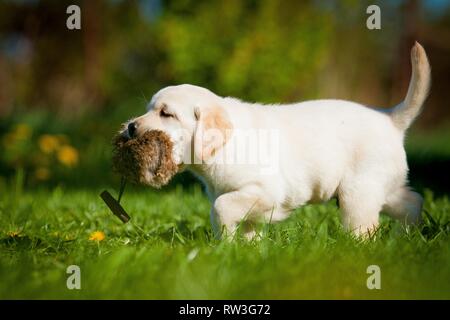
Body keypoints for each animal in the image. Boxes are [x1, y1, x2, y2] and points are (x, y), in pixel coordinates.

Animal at [122, 42, 428, 238]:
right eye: (150, 109)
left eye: (166, 113)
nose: (131, 127)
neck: (222, 148)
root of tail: (389, 117)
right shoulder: (242, 198)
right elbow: (241, 224)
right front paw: (240, 251)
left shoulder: (265, 191)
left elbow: (221, 209)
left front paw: (224, 244)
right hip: (382, 188)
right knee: (413, 202)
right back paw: (404, 239)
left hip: (358, 193)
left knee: (366, 227)